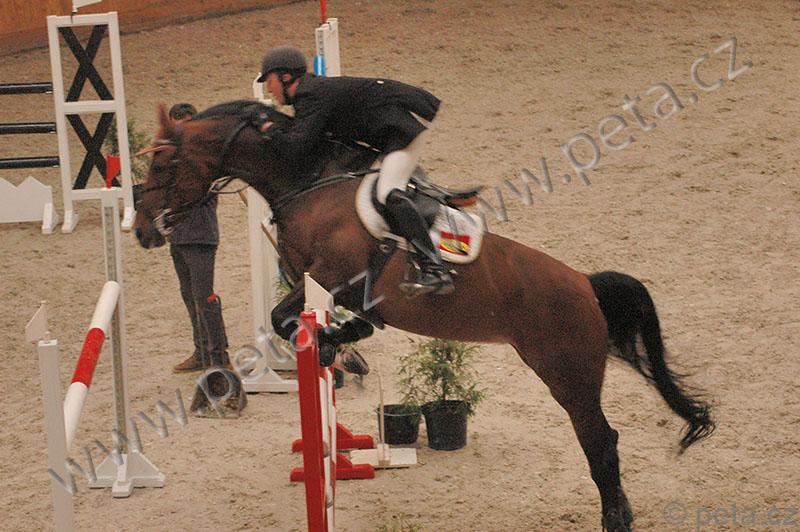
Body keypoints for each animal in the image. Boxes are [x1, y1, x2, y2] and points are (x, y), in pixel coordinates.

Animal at [133, 100, 714, 531]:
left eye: (162, 164)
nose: (141, 231)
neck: (307, 181)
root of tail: (585, 284)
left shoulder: (342, 277)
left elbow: (316, 319)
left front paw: (338, 347)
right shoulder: (313, 281)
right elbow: (288, 318)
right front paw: (334, 349)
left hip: (567, 373)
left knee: (601, 442)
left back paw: (615, 519)